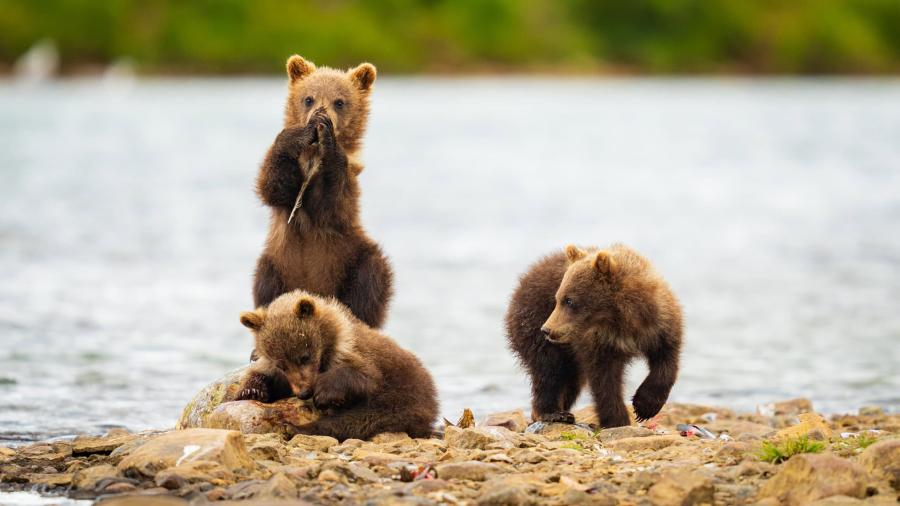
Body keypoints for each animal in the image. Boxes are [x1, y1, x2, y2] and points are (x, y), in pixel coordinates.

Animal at [235, 289, 439, 441]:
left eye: (304, 357)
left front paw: (324, 393)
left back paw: (296, 427)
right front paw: (251, 390)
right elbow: (266, 376)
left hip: (399, 401)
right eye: (282, 365)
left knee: (357, 421)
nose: (304, 392)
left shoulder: (354, 354)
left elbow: (365, 377)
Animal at [253, 54, 392, 331]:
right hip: (276, 264)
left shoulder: (348, 183)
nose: (321, 115)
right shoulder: (286, 192)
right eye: (309, 98)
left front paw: (329, 140)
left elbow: (330, 205)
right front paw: (297, 134)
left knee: (370, 279)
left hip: (353, 256)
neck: (312, 156)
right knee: (266, 286)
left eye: (339, 102)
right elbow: (274, 187)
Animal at [505, 243, 682, 428]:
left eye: (569, 300)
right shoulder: (599, 342)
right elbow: (604, 379)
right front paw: (618, 420)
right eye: (558, 298)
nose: (547, 329)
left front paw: (645, 406)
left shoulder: (661, 325)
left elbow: (666, 360)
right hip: (532, 322)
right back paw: (553, 413)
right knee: (549, 369)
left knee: (571, 380)